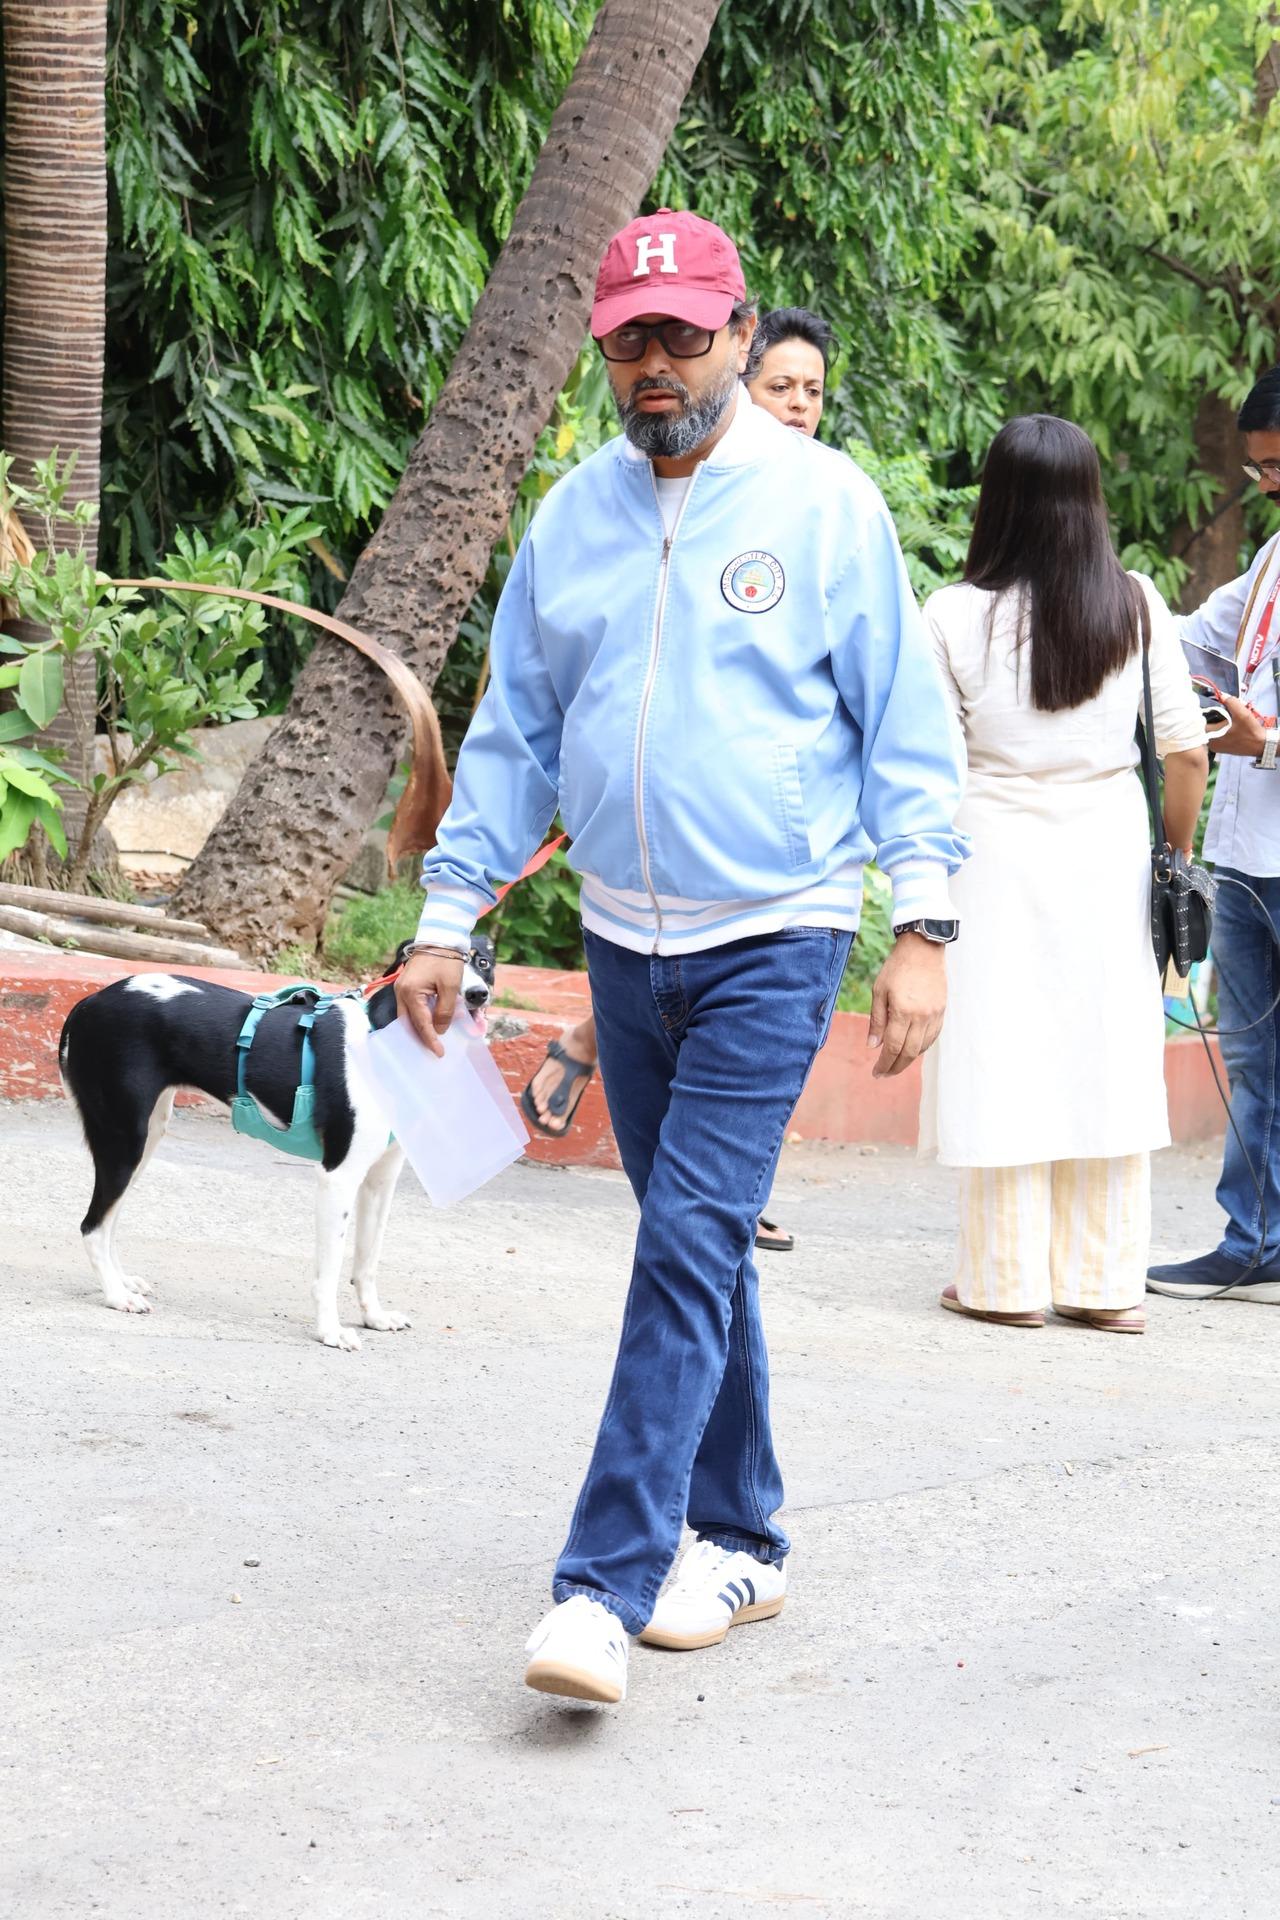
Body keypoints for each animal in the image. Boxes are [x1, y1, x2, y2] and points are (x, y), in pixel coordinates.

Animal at [62, 936, 498, 1344]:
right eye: (445, 968)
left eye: (483, 962)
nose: (478, 994)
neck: (386, 1041)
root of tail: (89, 1002)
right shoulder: (338, 1177)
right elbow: (330, 1269)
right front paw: (330, 1332)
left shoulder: (380, 1180)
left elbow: (367, 1262)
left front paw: (374, 1317)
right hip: (124, 1138)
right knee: (92, 1225)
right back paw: (116, 1295)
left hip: (147, 1136)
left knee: (109, 1219)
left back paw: (121, 1281)